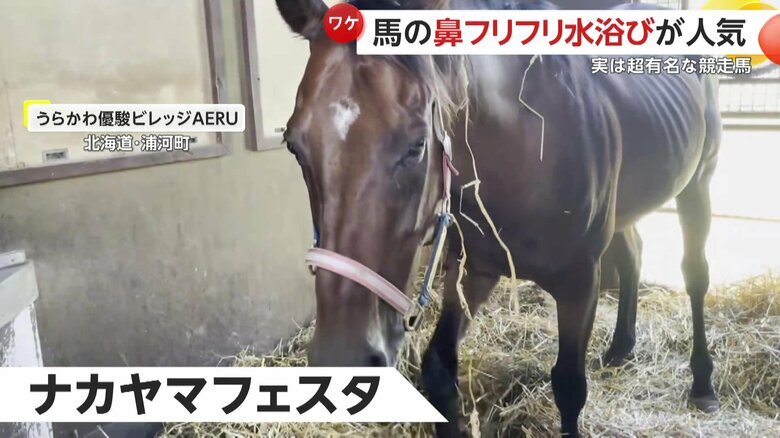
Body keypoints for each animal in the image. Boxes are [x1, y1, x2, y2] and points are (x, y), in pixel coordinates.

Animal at [275, 0, 722, 436]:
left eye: (418, 145)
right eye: (294, 145)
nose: (342, 356)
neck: (526, 145)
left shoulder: (579, 283)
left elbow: (569, 386)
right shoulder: (471, 269)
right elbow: (438, 369)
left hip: (698, 185)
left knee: (695, 277)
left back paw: (702, 385)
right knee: (633, 256)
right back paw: (620, 349)